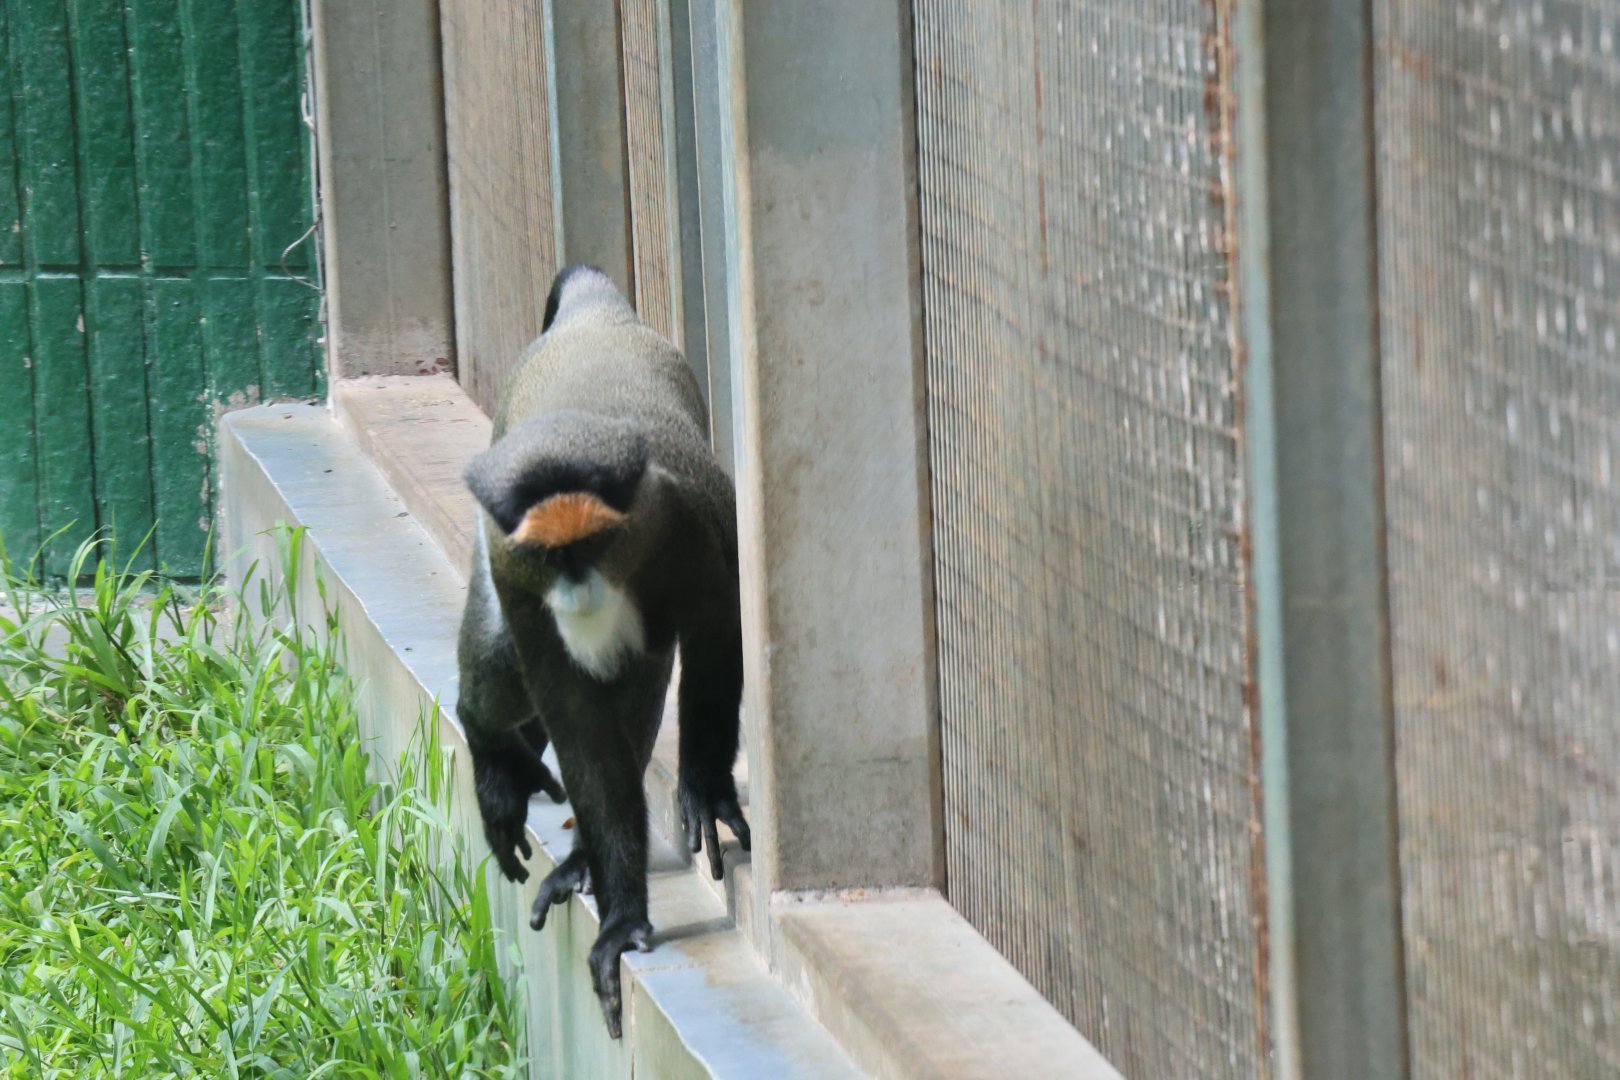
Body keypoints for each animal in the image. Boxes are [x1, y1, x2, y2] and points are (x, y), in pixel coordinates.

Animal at [455, 264, 750, 1039]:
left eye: (593, 544)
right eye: (547, 554)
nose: (578, 589)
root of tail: (594, 312)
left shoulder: (690, 538)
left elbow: (713, 654)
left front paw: (705, 790)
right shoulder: (514, 578)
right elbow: (579, 728)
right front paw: (621, 913)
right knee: (492, 684)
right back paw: (498, 763)